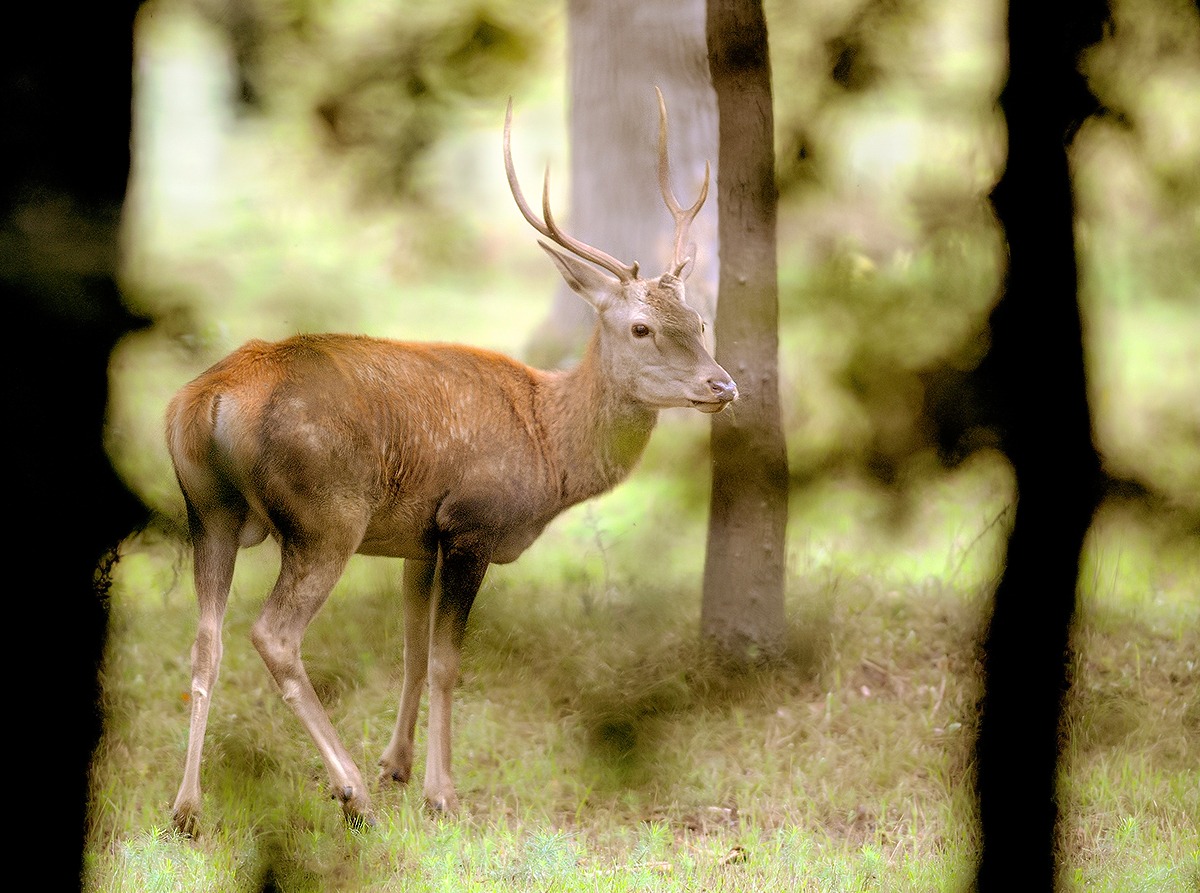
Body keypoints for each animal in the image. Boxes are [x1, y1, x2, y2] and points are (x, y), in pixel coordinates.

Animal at [165, 88, 737, 836]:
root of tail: (210, 401)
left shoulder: (418, 534)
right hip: (326, 516)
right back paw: (351, 793)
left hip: (207, 512)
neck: (548, 445)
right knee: (273, 635)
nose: (722, 385)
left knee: (205, 641)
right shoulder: (471, 521)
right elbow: (445, 662)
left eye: (698, 321)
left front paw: (399, 764)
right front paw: (439, 792)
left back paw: (187, 807)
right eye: (641, 327)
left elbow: (410, 651)